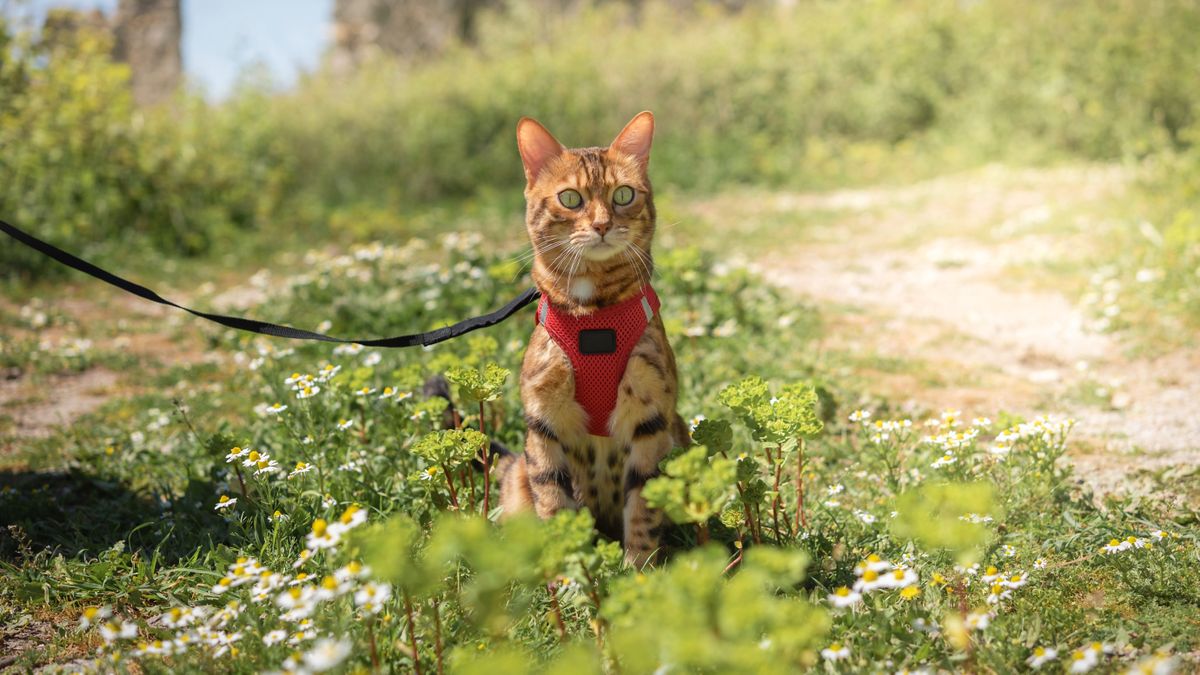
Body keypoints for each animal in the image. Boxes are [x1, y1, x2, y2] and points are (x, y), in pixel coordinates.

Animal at [494, 111, 691, 562]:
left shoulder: (650, 417)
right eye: (570, 199)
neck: (592, 316)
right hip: (518, 475)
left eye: (623, 194)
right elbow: (554, 503)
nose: (602, 225)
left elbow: (643, 508)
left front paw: (639, 569)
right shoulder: (542, 420)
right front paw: (568, 572)